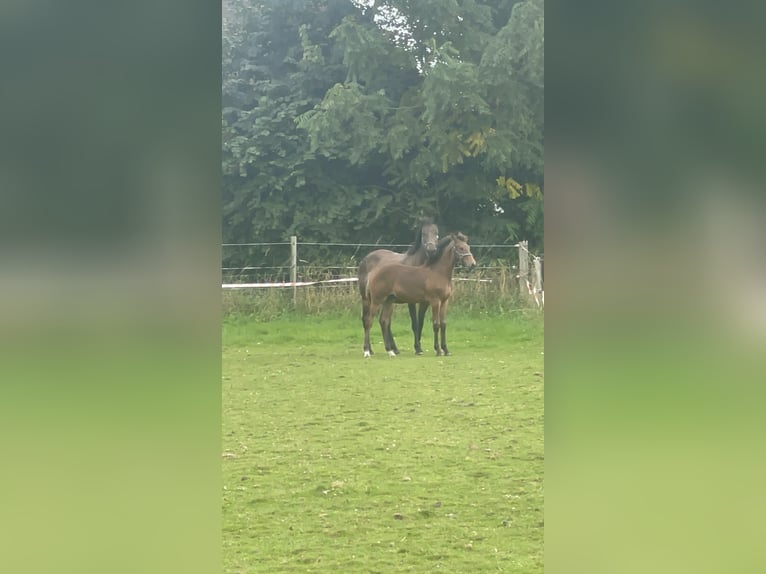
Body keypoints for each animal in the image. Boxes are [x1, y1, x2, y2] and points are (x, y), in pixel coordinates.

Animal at [358, 217, 438, 356]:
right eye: (423, 234)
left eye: (436, 233)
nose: (431, 249)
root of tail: (366, 258)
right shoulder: (411, 301)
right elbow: (414, 324)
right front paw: (417, 348)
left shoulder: (425, 302)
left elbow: (421, 323)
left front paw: (419, 346)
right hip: (367, 299)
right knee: (367, 319)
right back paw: (370, 350)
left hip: (387, 300)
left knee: (385, 322)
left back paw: (393, 349)